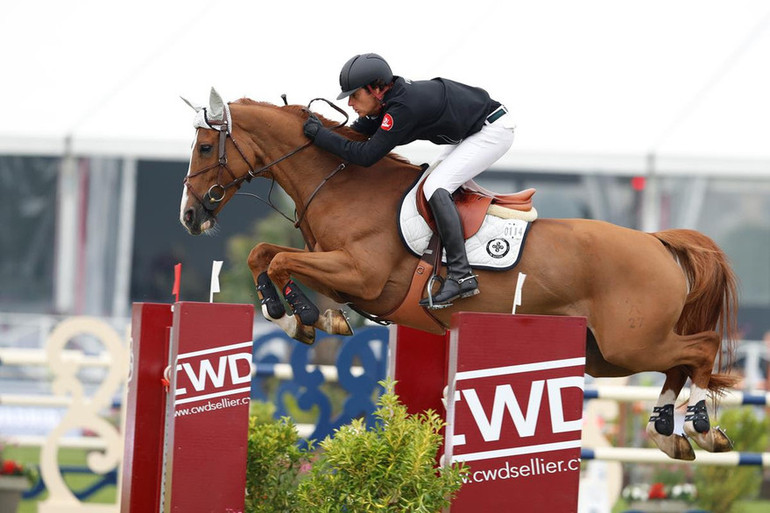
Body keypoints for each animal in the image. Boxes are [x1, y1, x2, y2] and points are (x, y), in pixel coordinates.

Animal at [180, 89, 736, 460]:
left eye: (206, 148)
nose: (189, 216)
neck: (343, 183)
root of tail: (657, 241)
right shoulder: (338, 270)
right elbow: (264, 254)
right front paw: (304, 317)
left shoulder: (363, 275)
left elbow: (276, 259)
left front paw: (299, 315)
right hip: (605, 354)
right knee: (678, 364)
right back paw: (669, 432)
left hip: (630, 342)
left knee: (700, 349)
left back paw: (700, 426)